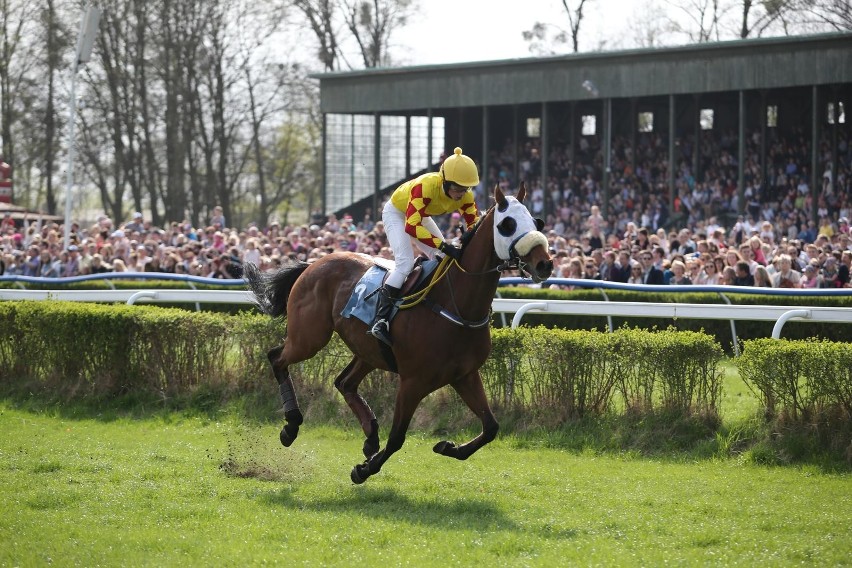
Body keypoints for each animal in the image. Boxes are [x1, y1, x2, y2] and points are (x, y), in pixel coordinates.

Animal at [245, 184, 552, 486]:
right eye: (507, 224)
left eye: (537, 221)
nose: (544, 264)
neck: (456, 306)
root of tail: (312, 263)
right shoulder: (413, 381)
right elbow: (397, 438)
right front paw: (363, 470)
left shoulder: (464, 375)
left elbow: (491, 427)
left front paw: (447, 447)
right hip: (309, 337)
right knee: (277, 358)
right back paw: (291, 426)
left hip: (368, 350)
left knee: (344, 382)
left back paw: (370, 436)